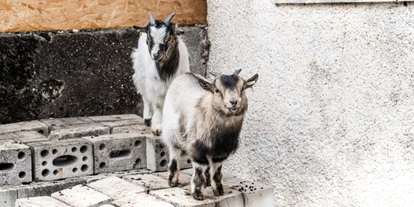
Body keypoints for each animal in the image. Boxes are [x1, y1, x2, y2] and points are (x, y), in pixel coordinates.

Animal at [163, 69, 258, 201]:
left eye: (242, 88)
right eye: (217, 90)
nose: (233, 102)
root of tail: (186, 73)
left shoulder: (221, 151)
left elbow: (217, 170)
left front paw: (218, 191)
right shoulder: (197, 147)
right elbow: (199, 169)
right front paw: (197, 194)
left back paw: (207, 181)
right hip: (172, 133)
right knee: (174, 153)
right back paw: (172, 181)